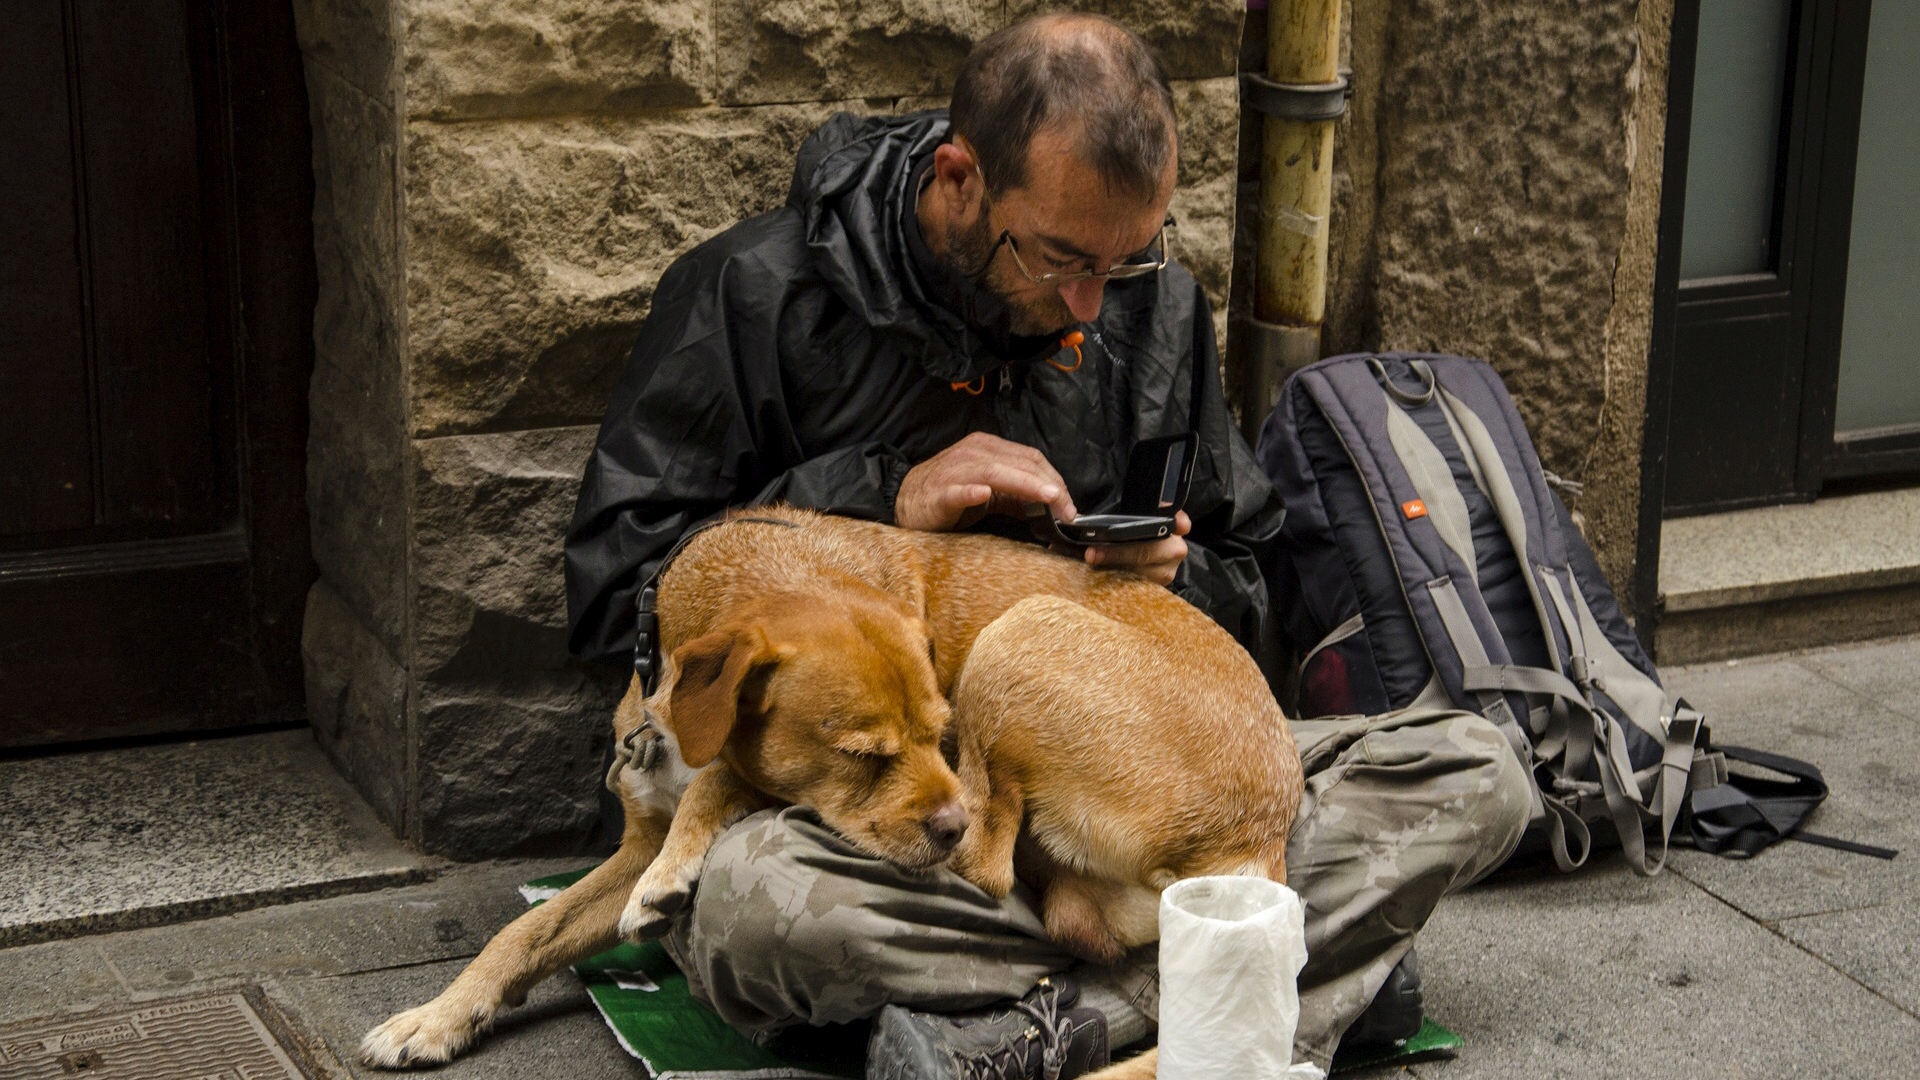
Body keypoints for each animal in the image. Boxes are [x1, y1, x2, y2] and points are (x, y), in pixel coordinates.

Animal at [360, 507, 1305, 1076]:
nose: (945, 820)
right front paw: (436, 1018)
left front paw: (677, 871)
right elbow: (525, 932)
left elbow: (728, 779)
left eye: (940, 732)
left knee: (993, 868)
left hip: (1019, 635)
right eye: (864, 753)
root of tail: (1259, 841)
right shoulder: (631, 840)